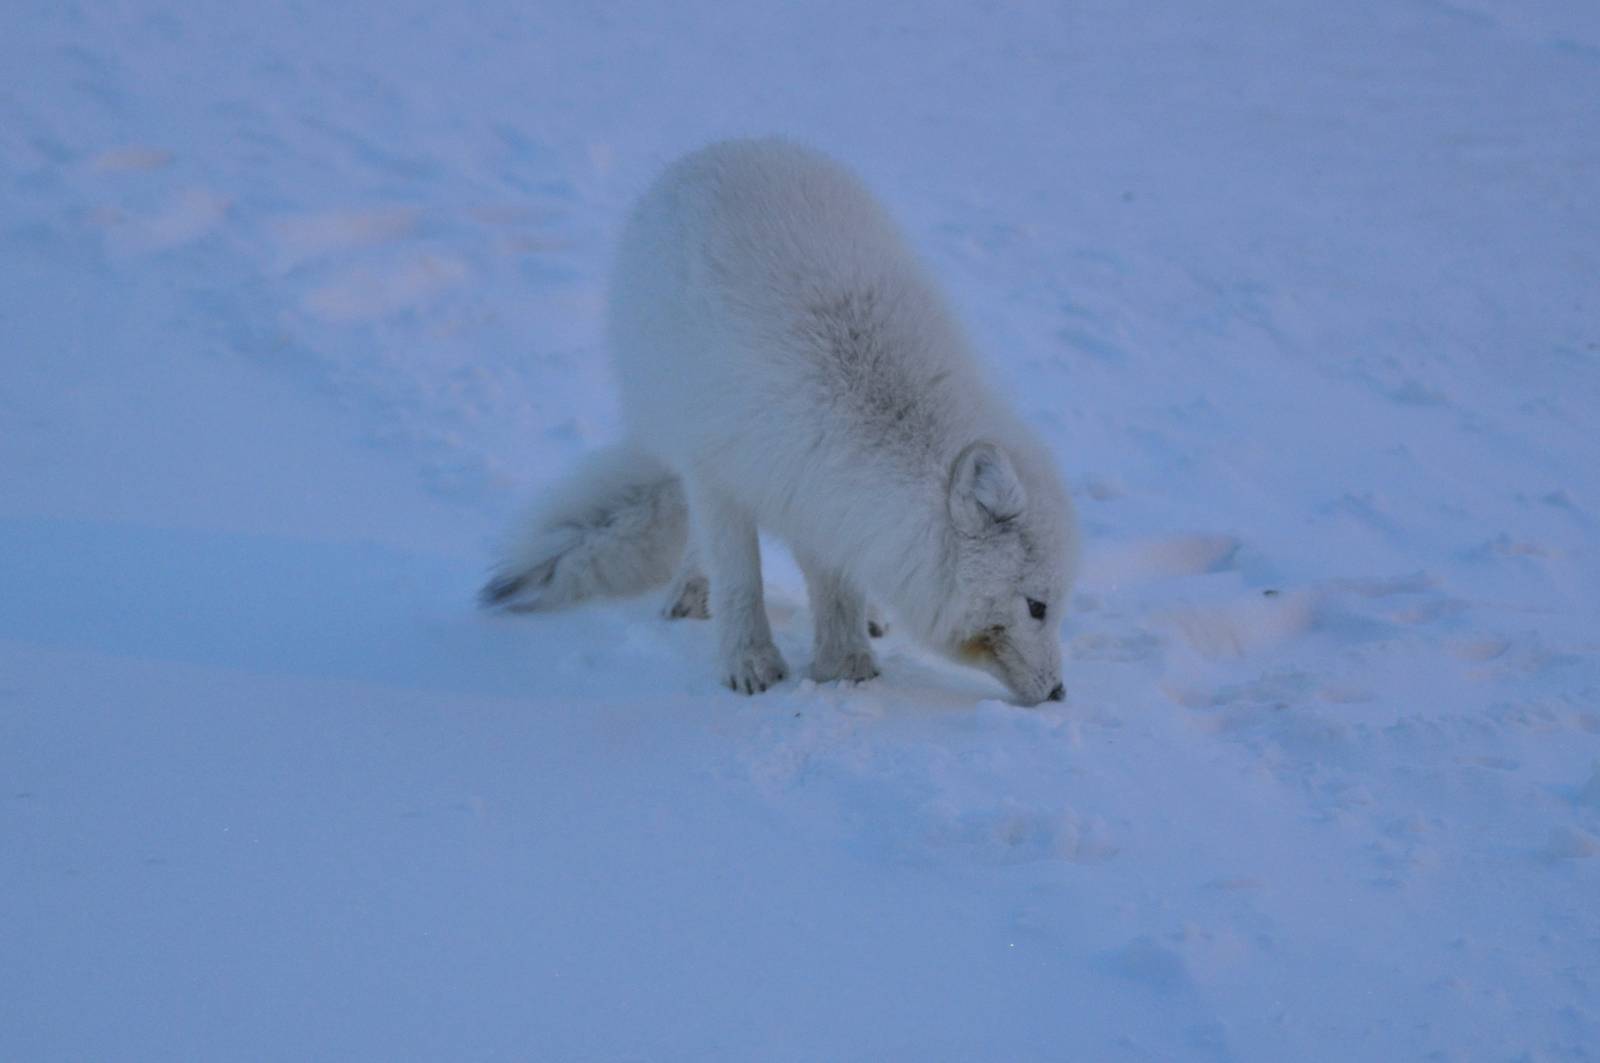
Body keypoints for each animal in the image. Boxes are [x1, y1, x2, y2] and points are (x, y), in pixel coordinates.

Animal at [482, 138, 1079, 705]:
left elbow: (836, 586)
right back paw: (691, 591)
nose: (1058, 692)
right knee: (701, 541)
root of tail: (727, 146)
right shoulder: (725, 473)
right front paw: (750, 664)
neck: (869, 407)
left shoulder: (821, 493)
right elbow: (740, 578)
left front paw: (844, 662)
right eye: (1036, 606)